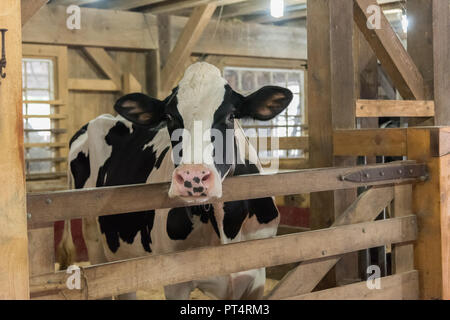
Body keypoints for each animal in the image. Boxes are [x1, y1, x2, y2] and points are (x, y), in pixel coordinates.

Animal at [59, 62, 292, 300]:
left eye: (230, 115)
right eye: (170, 118)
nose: (193, 176)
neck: (226, 227)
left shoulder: (256, 278)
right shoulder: (175, 279)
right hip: (95, 242)